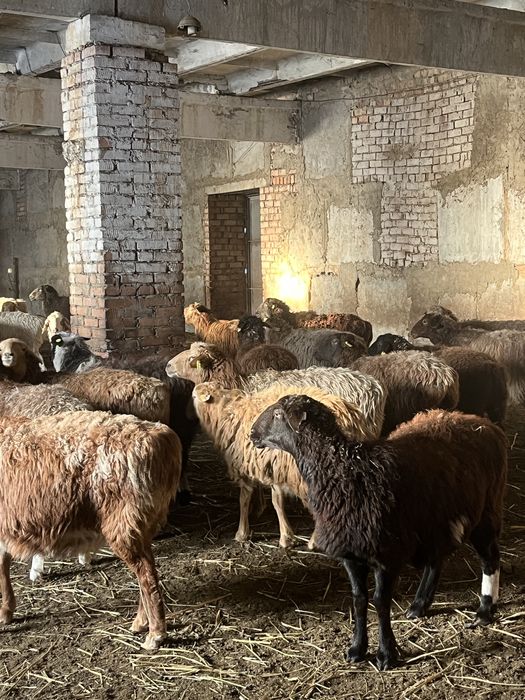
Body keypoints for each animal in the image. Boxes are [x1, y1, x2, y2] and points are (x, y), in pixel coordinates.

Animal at [0, 410, 182, 649]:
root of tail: (162, 438)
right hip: (142, 523)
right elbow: (3, 564)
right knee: (147, 567)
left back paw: (155, 634)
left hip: (124, 523)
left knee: (146, 573)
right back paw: (141, 622)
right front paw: (6, 611)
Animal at [192, 381, 375, 548]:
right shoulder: (272, 467)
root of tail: (351, 419)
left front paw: (243, 533)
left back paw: (314, 541)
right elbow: (276, 500)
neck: (226, 410)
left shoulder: (248, 464)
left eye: (193, 396)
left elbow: (246, 498)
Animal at [250, 396, 507, 670]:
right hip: (433, 518)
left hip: (486, 510)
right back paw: (419, 605)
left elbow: (381, 602)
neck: (346, 471)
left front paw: (386, 654)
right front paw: (357, 649)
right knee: (436, 560)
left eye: (278, 414)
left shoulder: (386, 555)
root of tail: (484, 424)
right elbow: (359, 599)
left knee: (490, 558)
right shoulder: (351, 554)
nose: (252, 433)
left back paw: (484, 611)